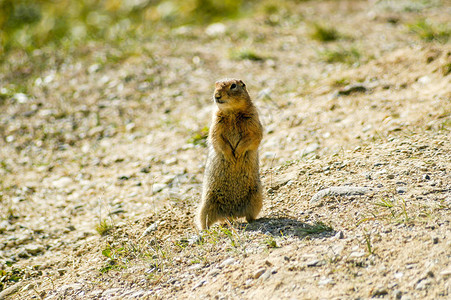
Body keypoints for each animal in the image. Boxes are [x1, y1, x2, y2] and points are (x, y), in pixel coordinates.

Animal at [198, 78, 264, 230]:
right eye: (215, 85)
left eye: (233, 86)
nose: (217, 95)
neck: (232, 112)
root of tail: (231, 213)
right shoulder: (216, 122)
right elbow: (217, 138)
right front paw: (231, 156)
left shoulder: (253, 119)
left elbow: (252, 137)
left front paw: (238, 154)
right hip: (206, 204)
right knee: (207, 221)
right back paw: (206, 229)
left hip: (257, 198)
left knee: (250, 216)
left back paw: (253, 220)